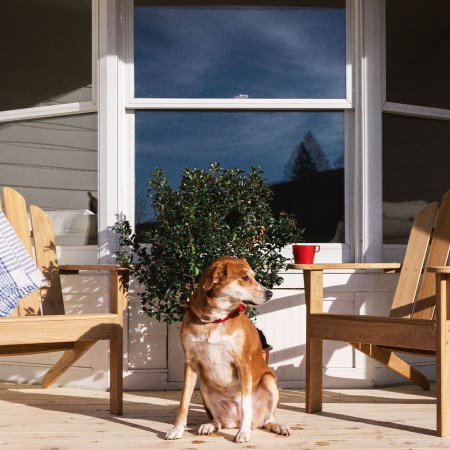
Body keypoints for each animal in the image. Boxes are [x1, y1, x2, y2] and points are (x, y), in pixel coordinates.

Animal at [165, 256, 292, 442]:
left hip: (269, 380)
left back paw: (276, 426)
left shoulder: (243, 364)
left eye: (253, 276)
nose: (270, 293)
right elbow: (183, 402)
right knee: (218, 420)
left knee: (267, 420)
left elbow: (246, 405)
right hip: (204, 387)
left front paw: (243, 433)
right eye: (245, 277)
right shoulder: (190, 363)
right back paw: (209, 426)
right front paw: (177, 429)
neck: (215, 319)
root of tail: (234, 420)